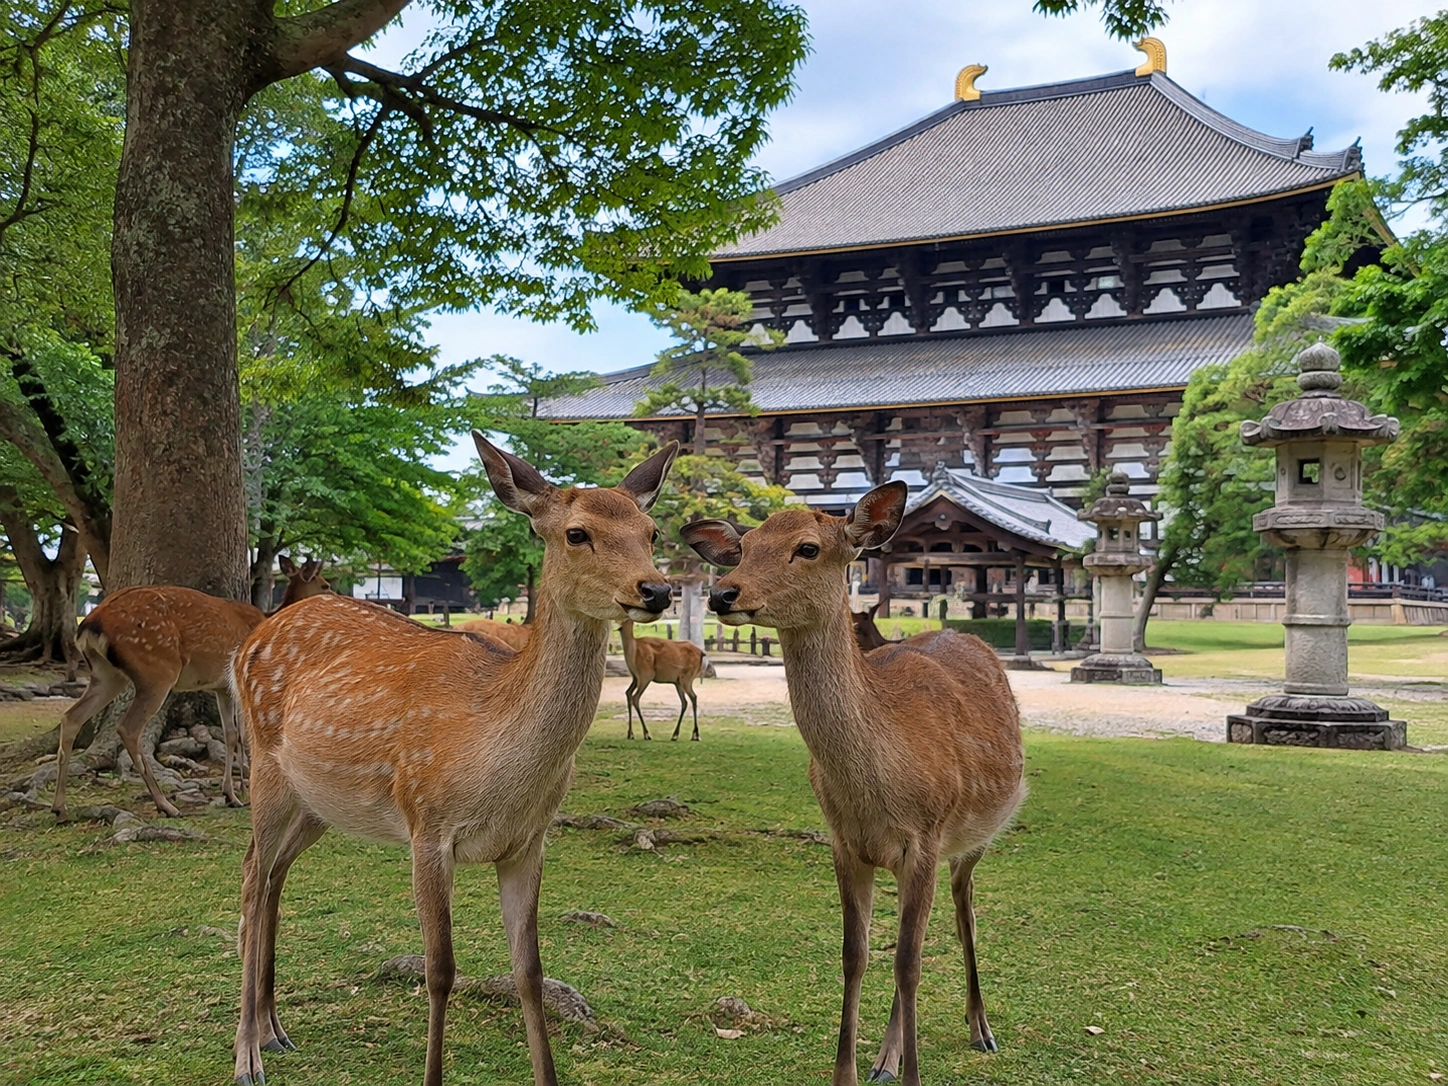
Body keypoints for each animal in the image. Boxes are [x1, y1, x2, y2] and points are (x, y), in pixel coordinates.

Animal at [49, 557, 329, 822]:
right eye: (324, 585)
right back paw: (166, 805)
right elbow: (245, 736)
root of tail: (90, 625)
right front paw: (245, 788)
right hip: (157, 671)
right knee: (128, 728)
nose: (333, 596)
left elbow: (230, 734)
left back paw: (60, 808)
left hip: (107, 675)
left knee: (72, 716)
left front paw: (232, 793)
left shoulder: (221, 687)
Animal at [230, 434, 677, 1086]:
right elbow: (440, 969)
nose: (656, 590)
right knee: (249, 878)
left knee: (274, 877)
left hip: (321, 804)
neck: (493, 758)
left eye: (651, 530)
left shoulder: (528, 841)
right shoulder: (427, 823)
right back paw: (247, 1056)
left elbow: (530, 972)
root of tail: (252, 637)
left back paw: (274, 1029)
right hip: (262, 764)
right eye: (577, 533)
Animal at [683, 482, 1025, 1086]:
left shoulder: (925, 837)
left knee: (964, 913)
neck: (877, 785)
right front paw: (852, 1069)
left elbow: (909, 964)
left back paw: (981, 1030)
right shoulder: (843, 841)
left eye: (808, 548)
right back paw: (885, 1058)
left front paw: (913, 1074)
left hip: (974, 837)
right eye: (743, 546)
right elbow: (856, 954)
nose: (724, 593)